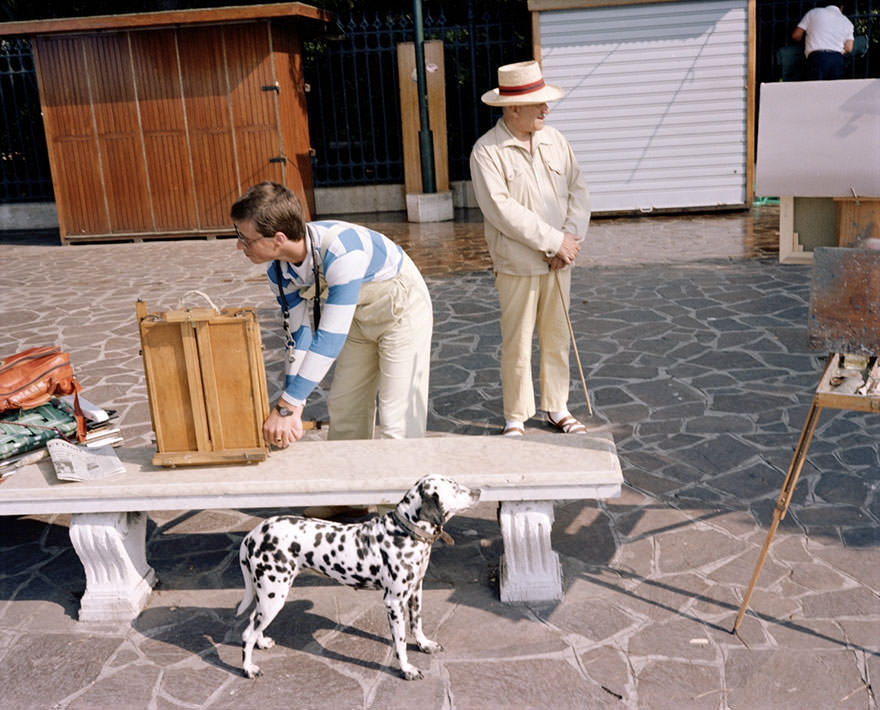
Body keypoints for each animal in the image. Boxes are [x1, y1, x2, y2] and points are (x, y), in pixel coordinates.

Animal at [237, 476, 478, 680]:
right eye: (455, 488)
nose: (478, 491)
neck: (403, 533)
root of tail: (252, 535)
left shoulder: (415, 591)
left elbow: (417, 623)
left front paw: (424, 645)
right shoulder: (394, 602)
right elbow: (400, 642)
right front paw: (406, 669)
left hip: (267, 597)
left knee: (252, 622)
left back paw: (261, 642)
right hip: (273, 598)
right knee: (247, 634)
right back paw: (249, 668)